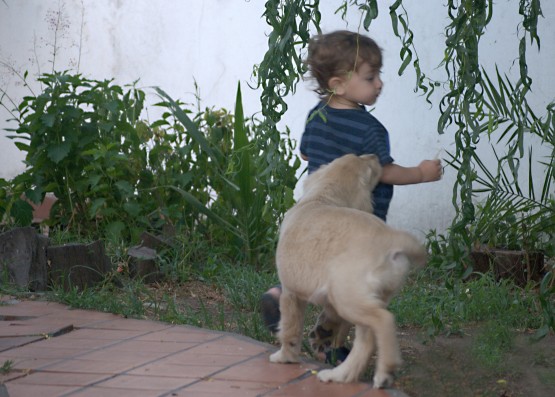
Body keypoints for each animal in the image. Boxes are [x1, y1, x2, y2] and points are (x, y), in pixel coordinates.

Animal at [272, 152, 428, 386]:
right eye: (366, 165)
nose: (375, 156)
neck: (322, 197)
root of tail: (392, 237)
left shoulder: (291, 293)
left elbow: (290, 329)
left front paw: (285, 357)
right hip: (366, 297)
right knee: (367, 340)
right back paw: (340, 375)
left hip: (348, 296)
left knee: (384, 320)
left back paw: (385, 370)